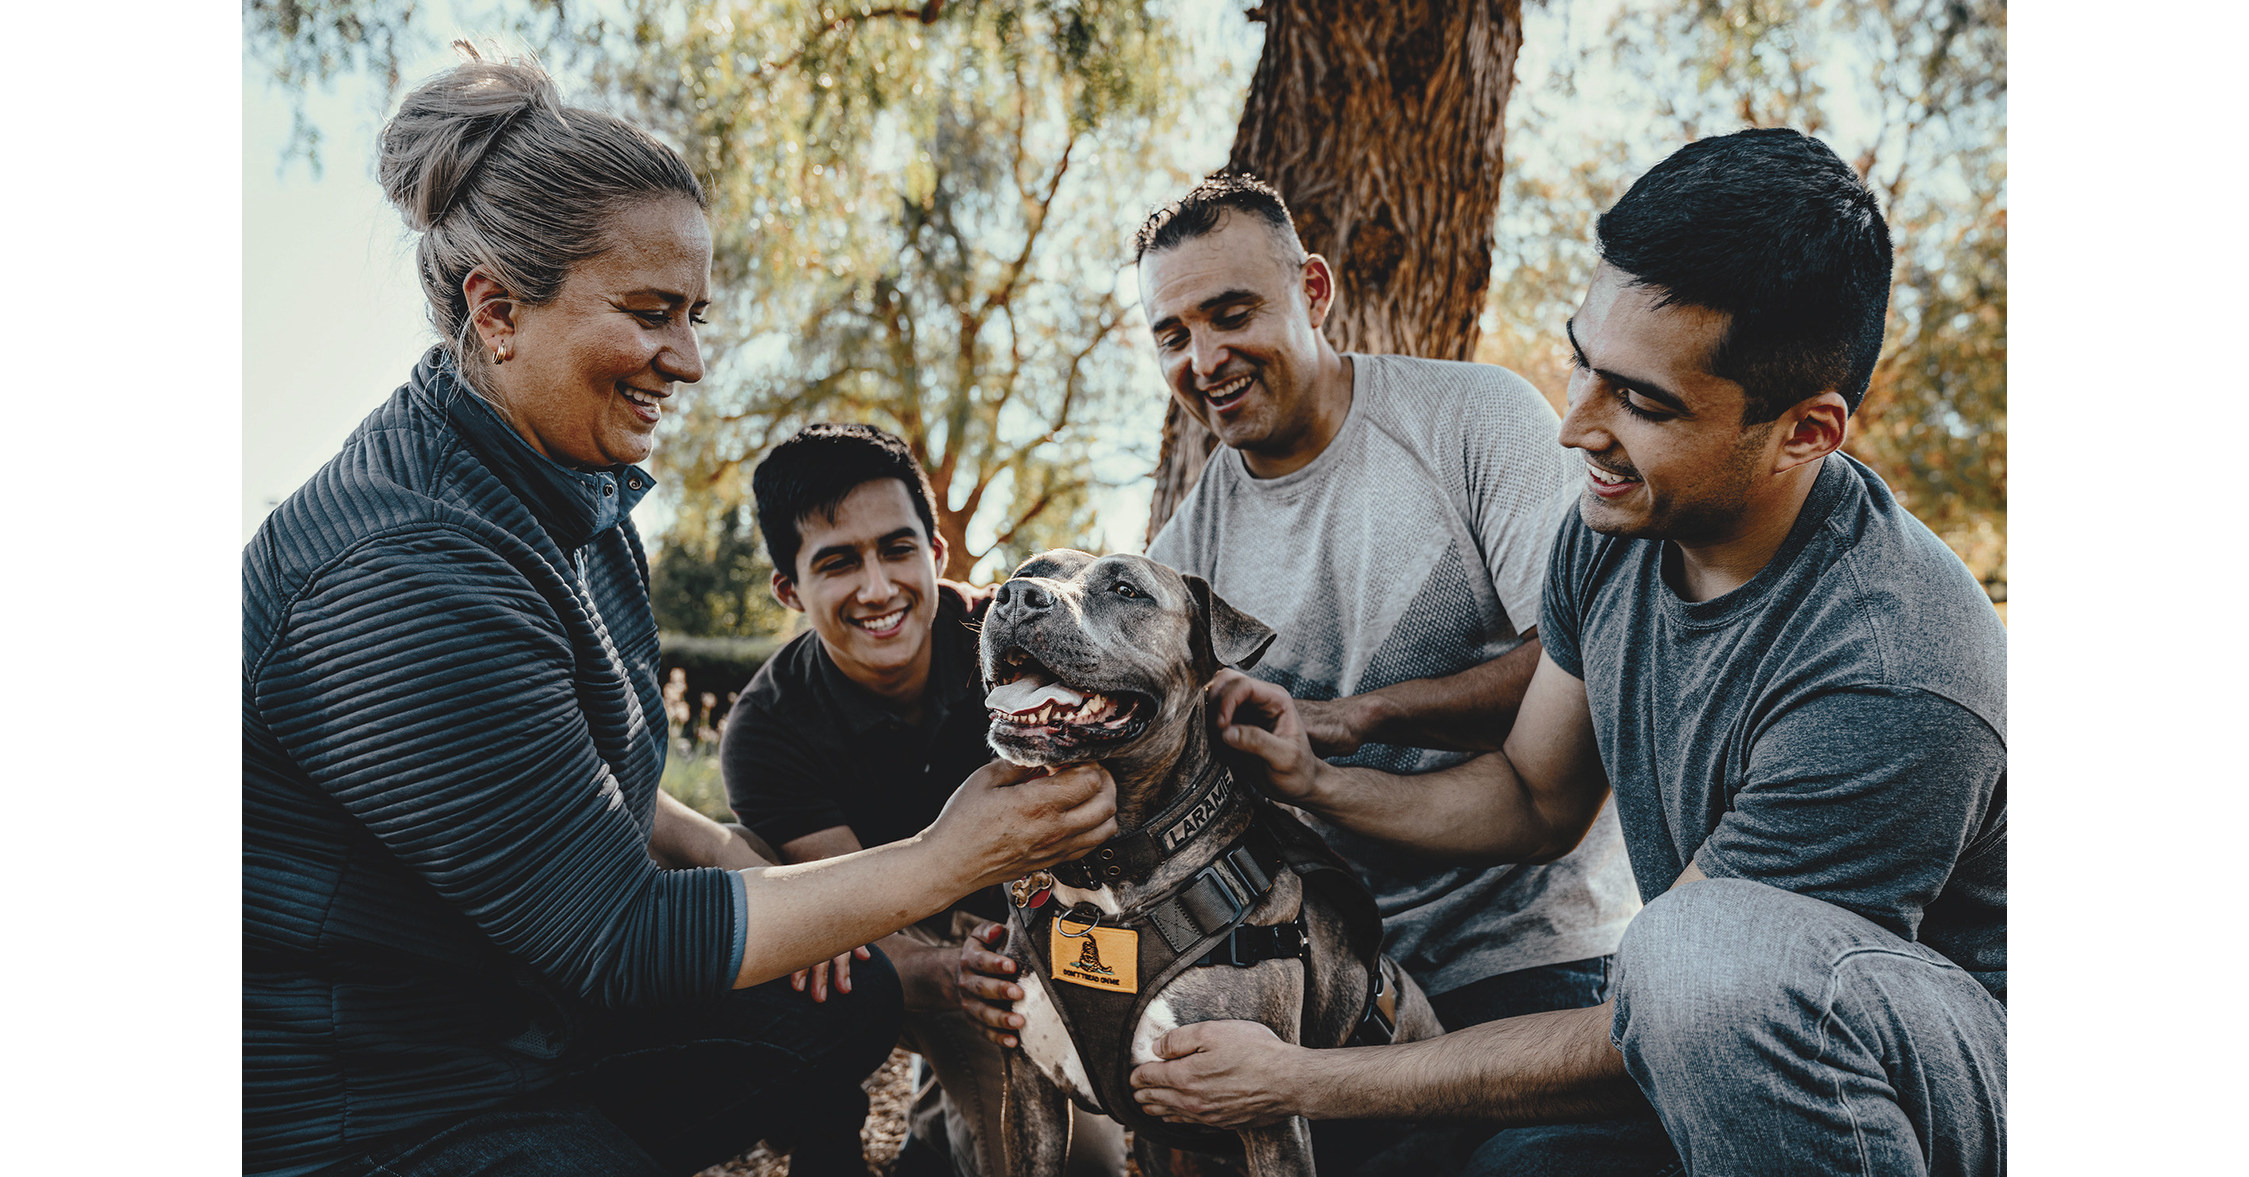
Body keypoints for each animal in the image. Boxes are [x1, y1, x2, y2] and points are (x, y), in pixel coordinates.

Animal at [980, 553, 1439, 1177]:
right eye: (1030, 568)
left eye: (1126, 590)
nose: (1014, 596)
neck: (1103, 878)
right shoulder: (1030, 1092)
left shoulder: (1267, 1107)